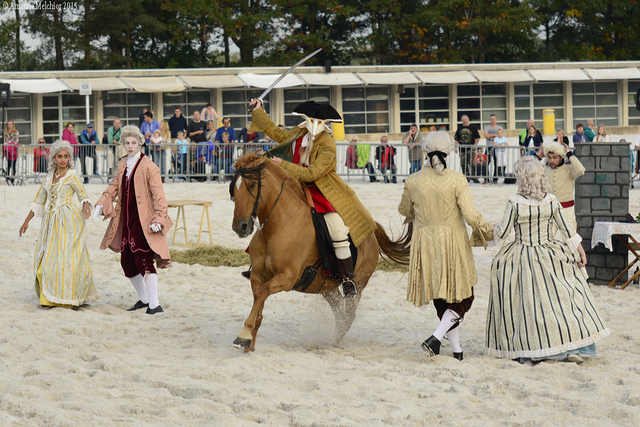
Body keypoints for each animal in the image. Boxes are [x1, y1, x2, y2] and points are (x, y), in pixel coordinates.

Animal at [230, 155, 410, 352]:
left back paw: (333, 344)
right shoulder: (257, 275)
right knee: (340, 313)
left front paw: (243, 335)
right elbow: (258, 303)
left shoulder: (287, 277)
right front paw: (250, 345)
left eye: (252, 185)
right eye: (233, 190)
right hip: (327, 288)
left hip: (359, 283)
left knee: (348, 316)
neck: (279, 225)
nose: (240, 227)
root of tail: (371, 233)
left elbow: (261, 293)